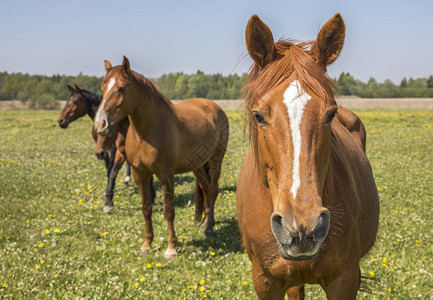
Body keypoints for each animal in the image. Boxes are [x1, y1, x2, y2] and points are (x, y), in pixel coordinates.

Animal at [93, 57, 230, 258]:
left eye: (122, 88)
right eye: (103, 88)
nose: (100, 124)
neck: (147, 132)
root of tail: (215, 107)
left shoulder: (166, 175)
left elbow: (168, 211)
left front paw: (171, 248)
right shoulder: (140, 174)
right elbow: (146, 209)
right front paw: (146, 245)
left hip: (215, 160)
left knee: (212, 189)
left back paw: (209, 229)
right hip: (197, 165)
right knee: (205, 187)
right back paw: (205, 222)